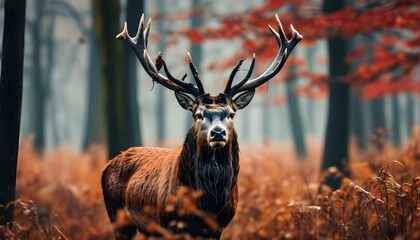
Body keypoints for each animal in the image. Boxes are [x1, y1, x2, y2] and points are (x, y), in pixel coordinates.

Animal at [101, 13, 302, 240]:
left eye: (231, 114)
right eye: (198, 114)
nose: (218, 133)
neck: (208, 204)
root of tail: (107, 165)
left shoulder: (217, 227)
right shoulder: (171, 223)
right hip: (118, 217)